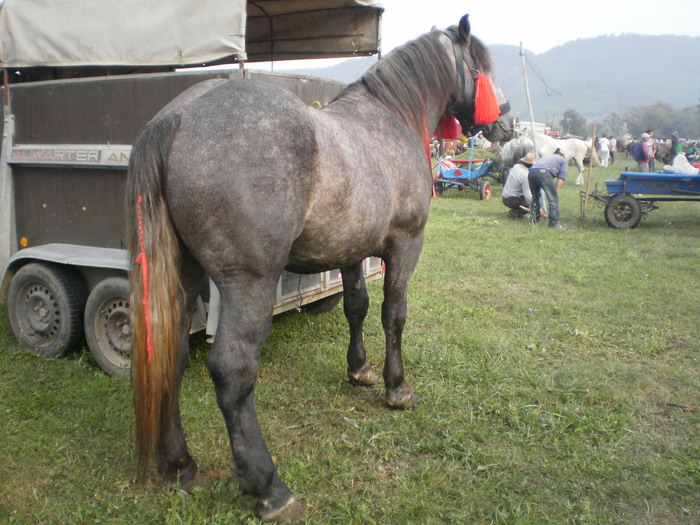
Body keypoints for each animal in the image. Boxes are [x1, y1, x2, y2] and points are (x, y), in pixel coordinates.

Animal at [127, 14, 516, 520]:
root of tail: (177, 118)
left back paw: (179, 464)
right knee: (233, 371)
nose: (507, 123)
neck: (390, 118)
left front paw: (360, 369)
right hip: (248, 283)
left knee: (172, 354)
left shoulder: (350, 251)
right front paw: (396, 388)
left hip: (184, 274)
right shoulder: (406, 245)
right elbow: (394, 314)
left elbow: (356, 306)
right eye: (481, 67)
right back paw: (269, 486)